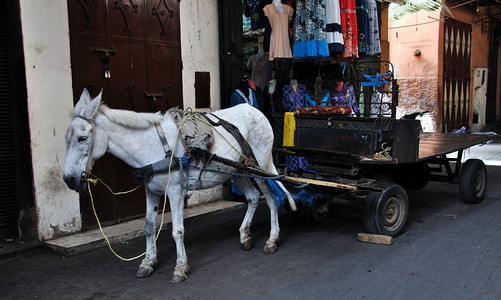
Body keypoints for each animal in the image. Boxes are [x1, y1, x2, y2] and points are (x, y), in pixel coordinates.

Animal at [62, 89, 292, 284]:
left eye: (83, 138)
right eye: (66, 138)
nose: (68, 179)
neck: (151, 146)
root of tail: (254, 110)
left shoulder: (175, 192)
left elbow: (177, 231)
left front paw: (180, 268)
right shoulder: (150, 190)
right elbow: (148, 226)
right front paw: (147, 262)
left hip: (260, 166)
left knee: (270, 198)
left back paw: (272, 240)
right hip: (238, 171)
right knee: (253, 197)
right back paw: (245, 236)